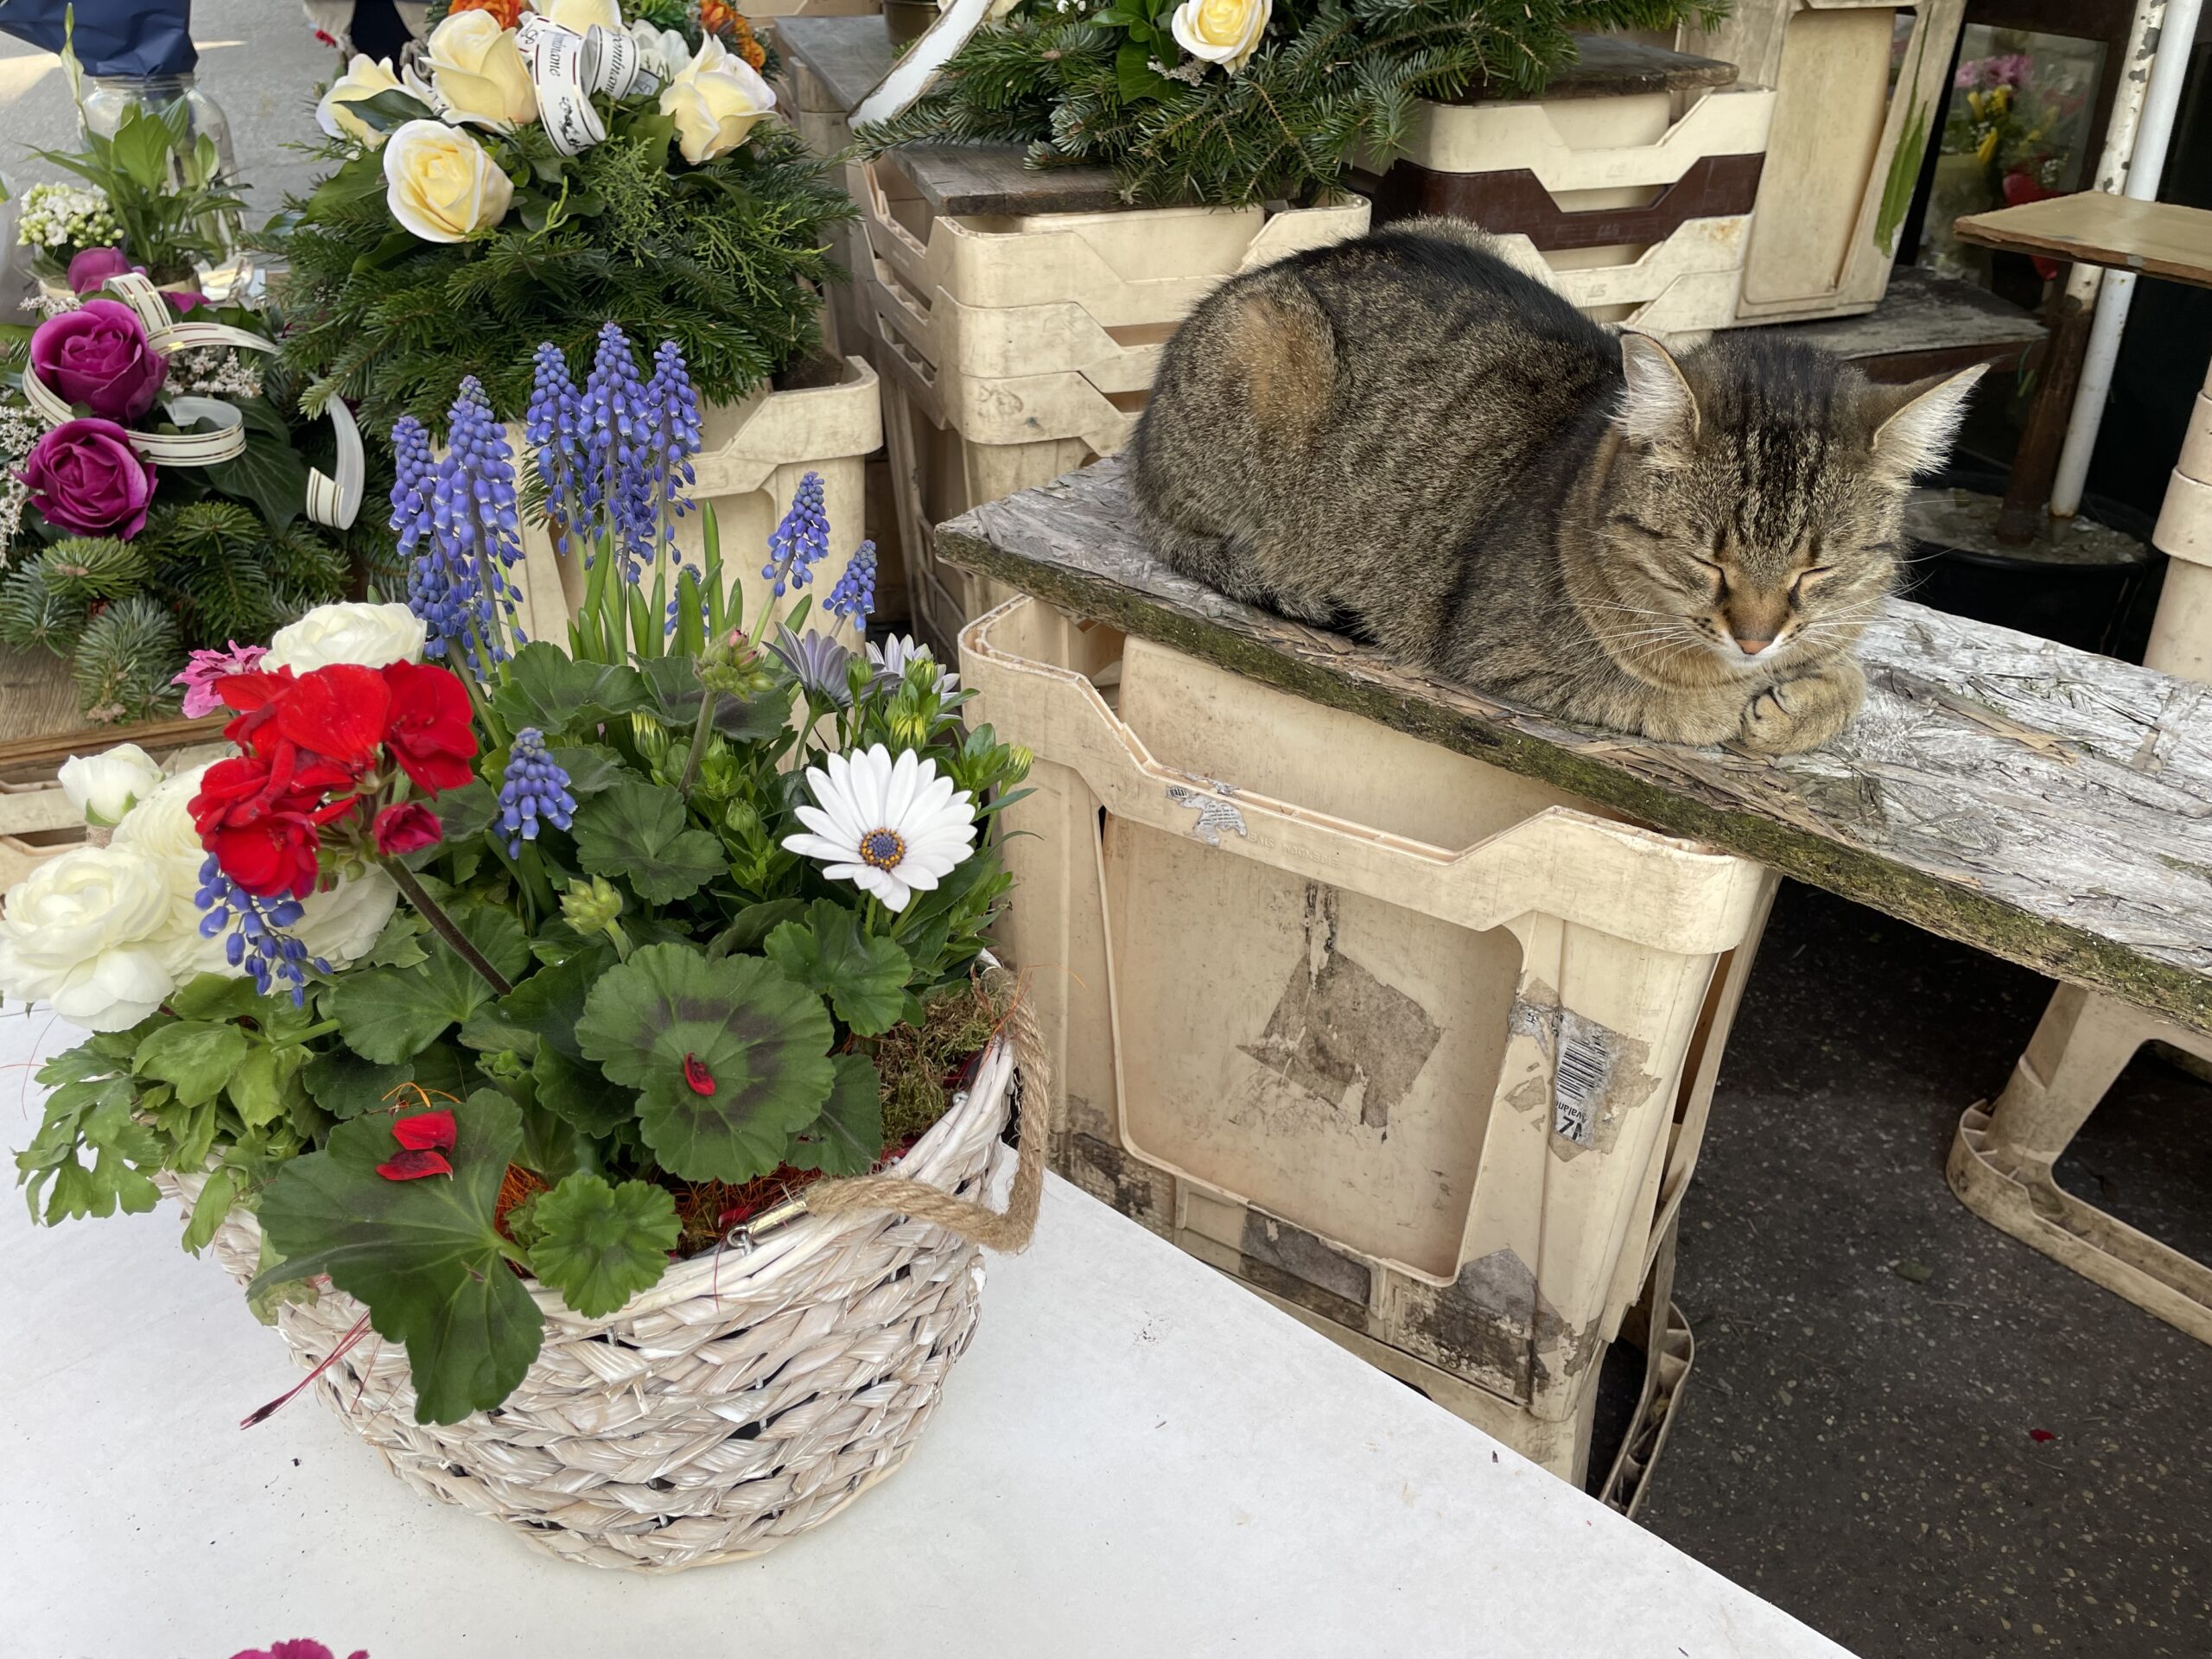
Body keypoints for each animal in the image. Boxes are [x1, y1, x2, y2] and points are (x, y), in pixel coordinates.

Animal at [1123, 215, 1991, 752]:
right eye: (1707, 562)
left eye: (1818, 570)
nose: (1756, 637)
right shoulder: (1504, 657)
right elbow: (1675, 701)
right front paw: (1750, 705)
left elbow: (1856, 676)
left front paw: (1811, 692)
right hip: (1264, 354)